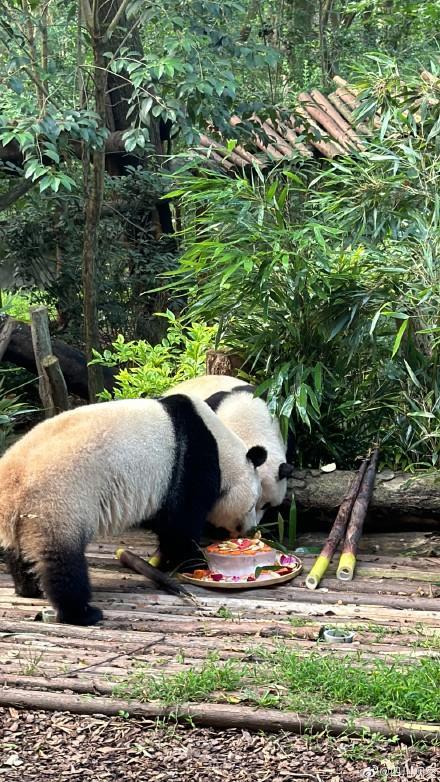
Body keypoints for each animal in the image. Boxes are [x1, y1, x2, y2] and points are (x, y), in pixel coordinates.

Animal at [0, 396, 264, 628]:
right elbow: (180, 523)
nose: (250, 529)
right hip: (58, 502)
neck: (223, 448)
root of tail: (12, 481)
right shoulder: (191, 462)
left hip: (25, 517)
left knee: (19, 552)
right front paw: (192, 561)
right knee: (63, 563)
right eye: (254, 505)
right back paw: (81, 613)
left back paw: (28, 588)